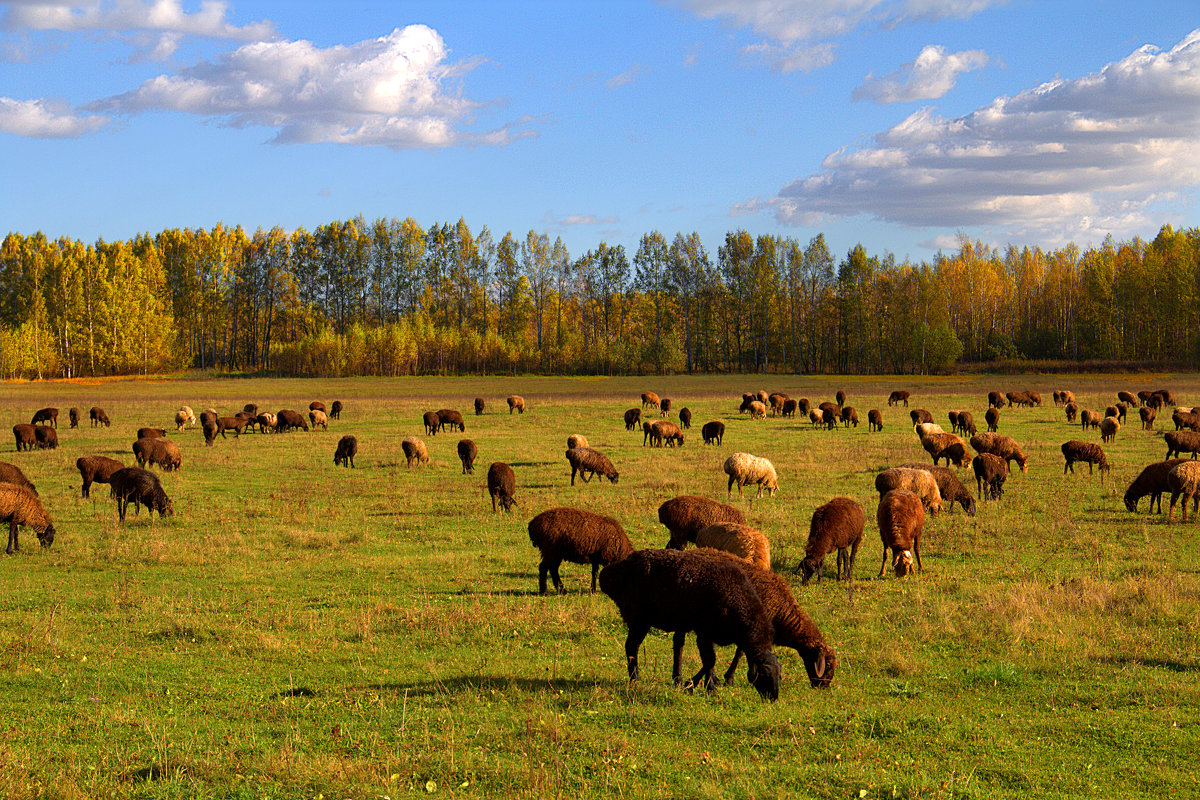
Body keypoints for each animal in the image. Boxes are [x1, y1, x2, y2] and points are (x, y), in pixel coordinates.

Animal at [595, 551, 782, 700]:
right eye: (764, 674)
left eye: (779, 676)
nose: (773, 698)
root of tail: (609, 573)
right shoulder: (704, 631)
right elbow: (710, 660)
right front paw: (698, 685)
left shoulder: (709, 633)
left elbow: (707, 661)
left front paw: (698, 683)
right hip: (639, 618)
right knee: (631, 646)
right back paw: (635, 678)